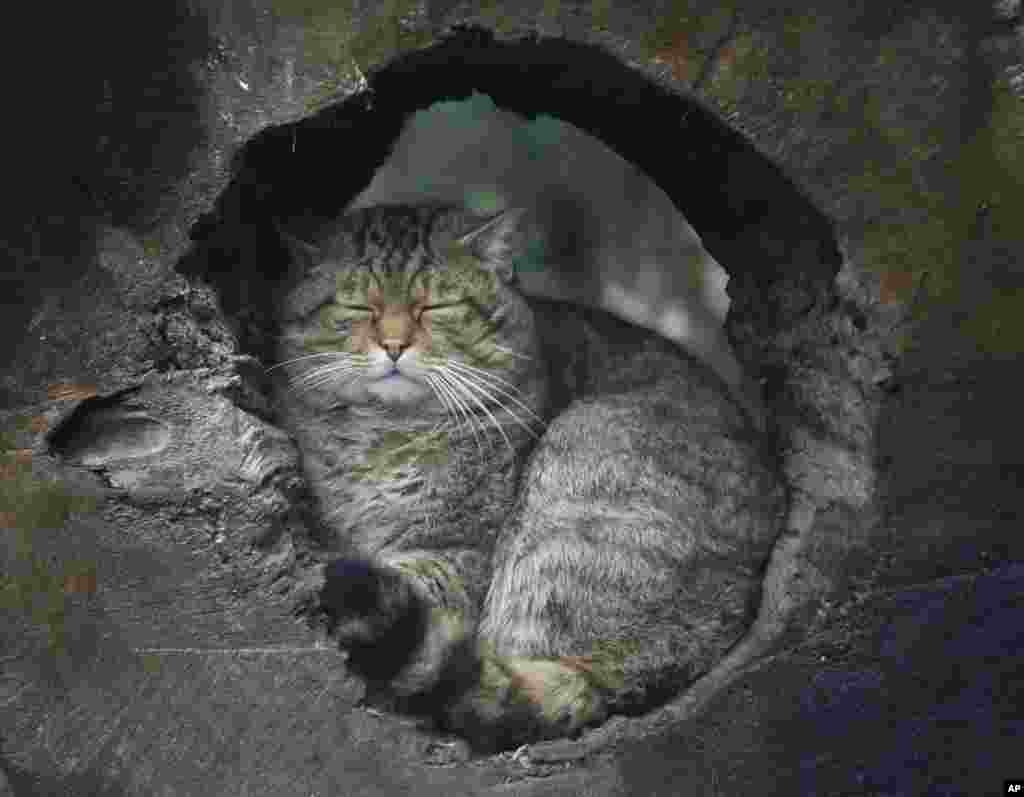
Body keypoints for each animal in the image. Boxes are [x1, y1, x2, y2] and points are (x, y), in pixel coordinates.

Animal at [274, 200, 782, 749]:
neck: (386, 435)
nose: (393, 344)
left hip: (577, 471)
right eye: (357, 309)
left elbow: (408, 578)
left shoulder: (456, 550)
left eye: (434, 308)